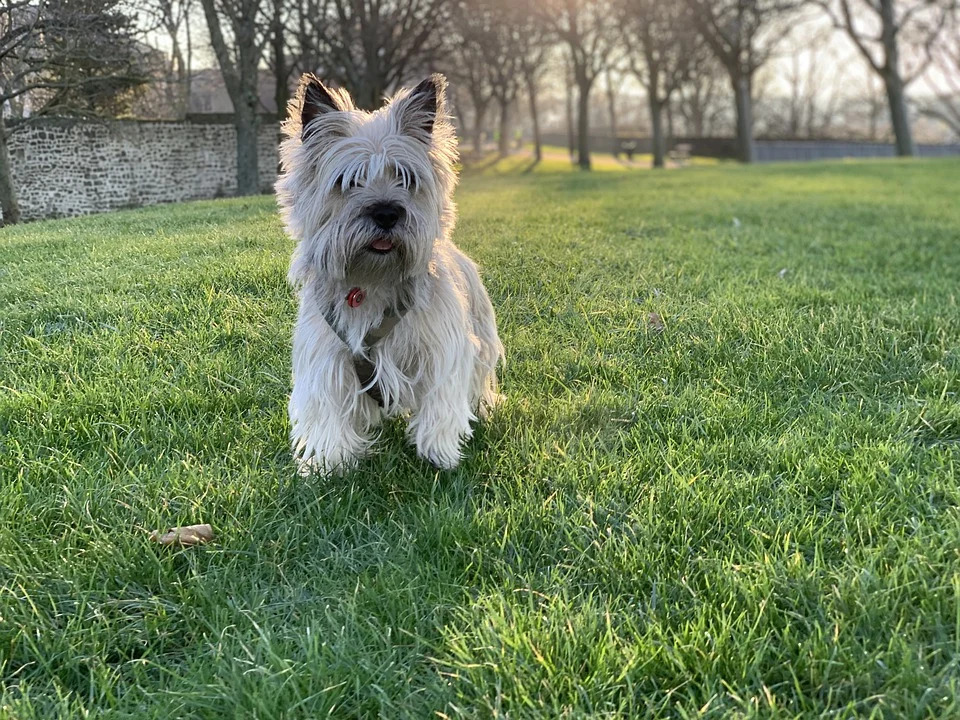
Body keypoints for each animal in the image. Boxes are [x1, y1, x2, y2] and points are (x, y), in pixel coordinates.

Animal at [276, 73, 502, 472]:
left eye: (406, 178)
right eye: (349, 180)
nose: (386, 212)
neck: (372, 280)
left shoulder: (442, 349)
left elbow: (441, 403)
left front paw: (439, 455)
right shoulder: (326, 357)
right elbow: (327, 409)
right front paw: (329, 464)